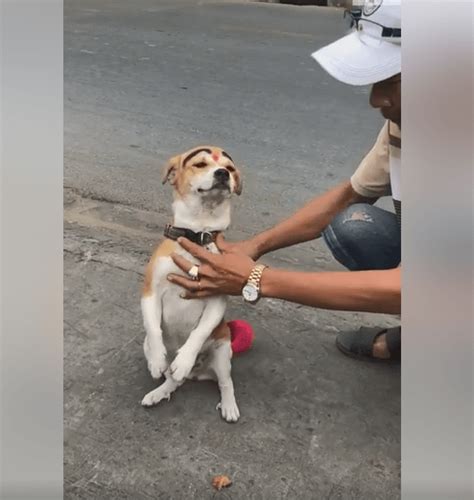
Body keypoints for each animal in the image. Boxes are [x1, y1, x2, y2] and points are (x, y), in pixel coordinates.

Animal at [140, 145, 244, 422]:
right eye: (200, 164)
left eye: (229, 168)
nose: (222, 174)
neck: (198, 234)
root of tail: (199, 372)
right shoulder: (150, 293)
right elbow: (153, 328)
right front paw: (158, 360)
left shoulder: (217, 299)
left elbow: (198, 333)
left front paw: (185, 358)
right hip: (146, 346)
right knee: (174, 380)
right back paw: (159, 392)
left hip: (222, 352)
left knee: (225, 382)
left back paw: (228, 405)